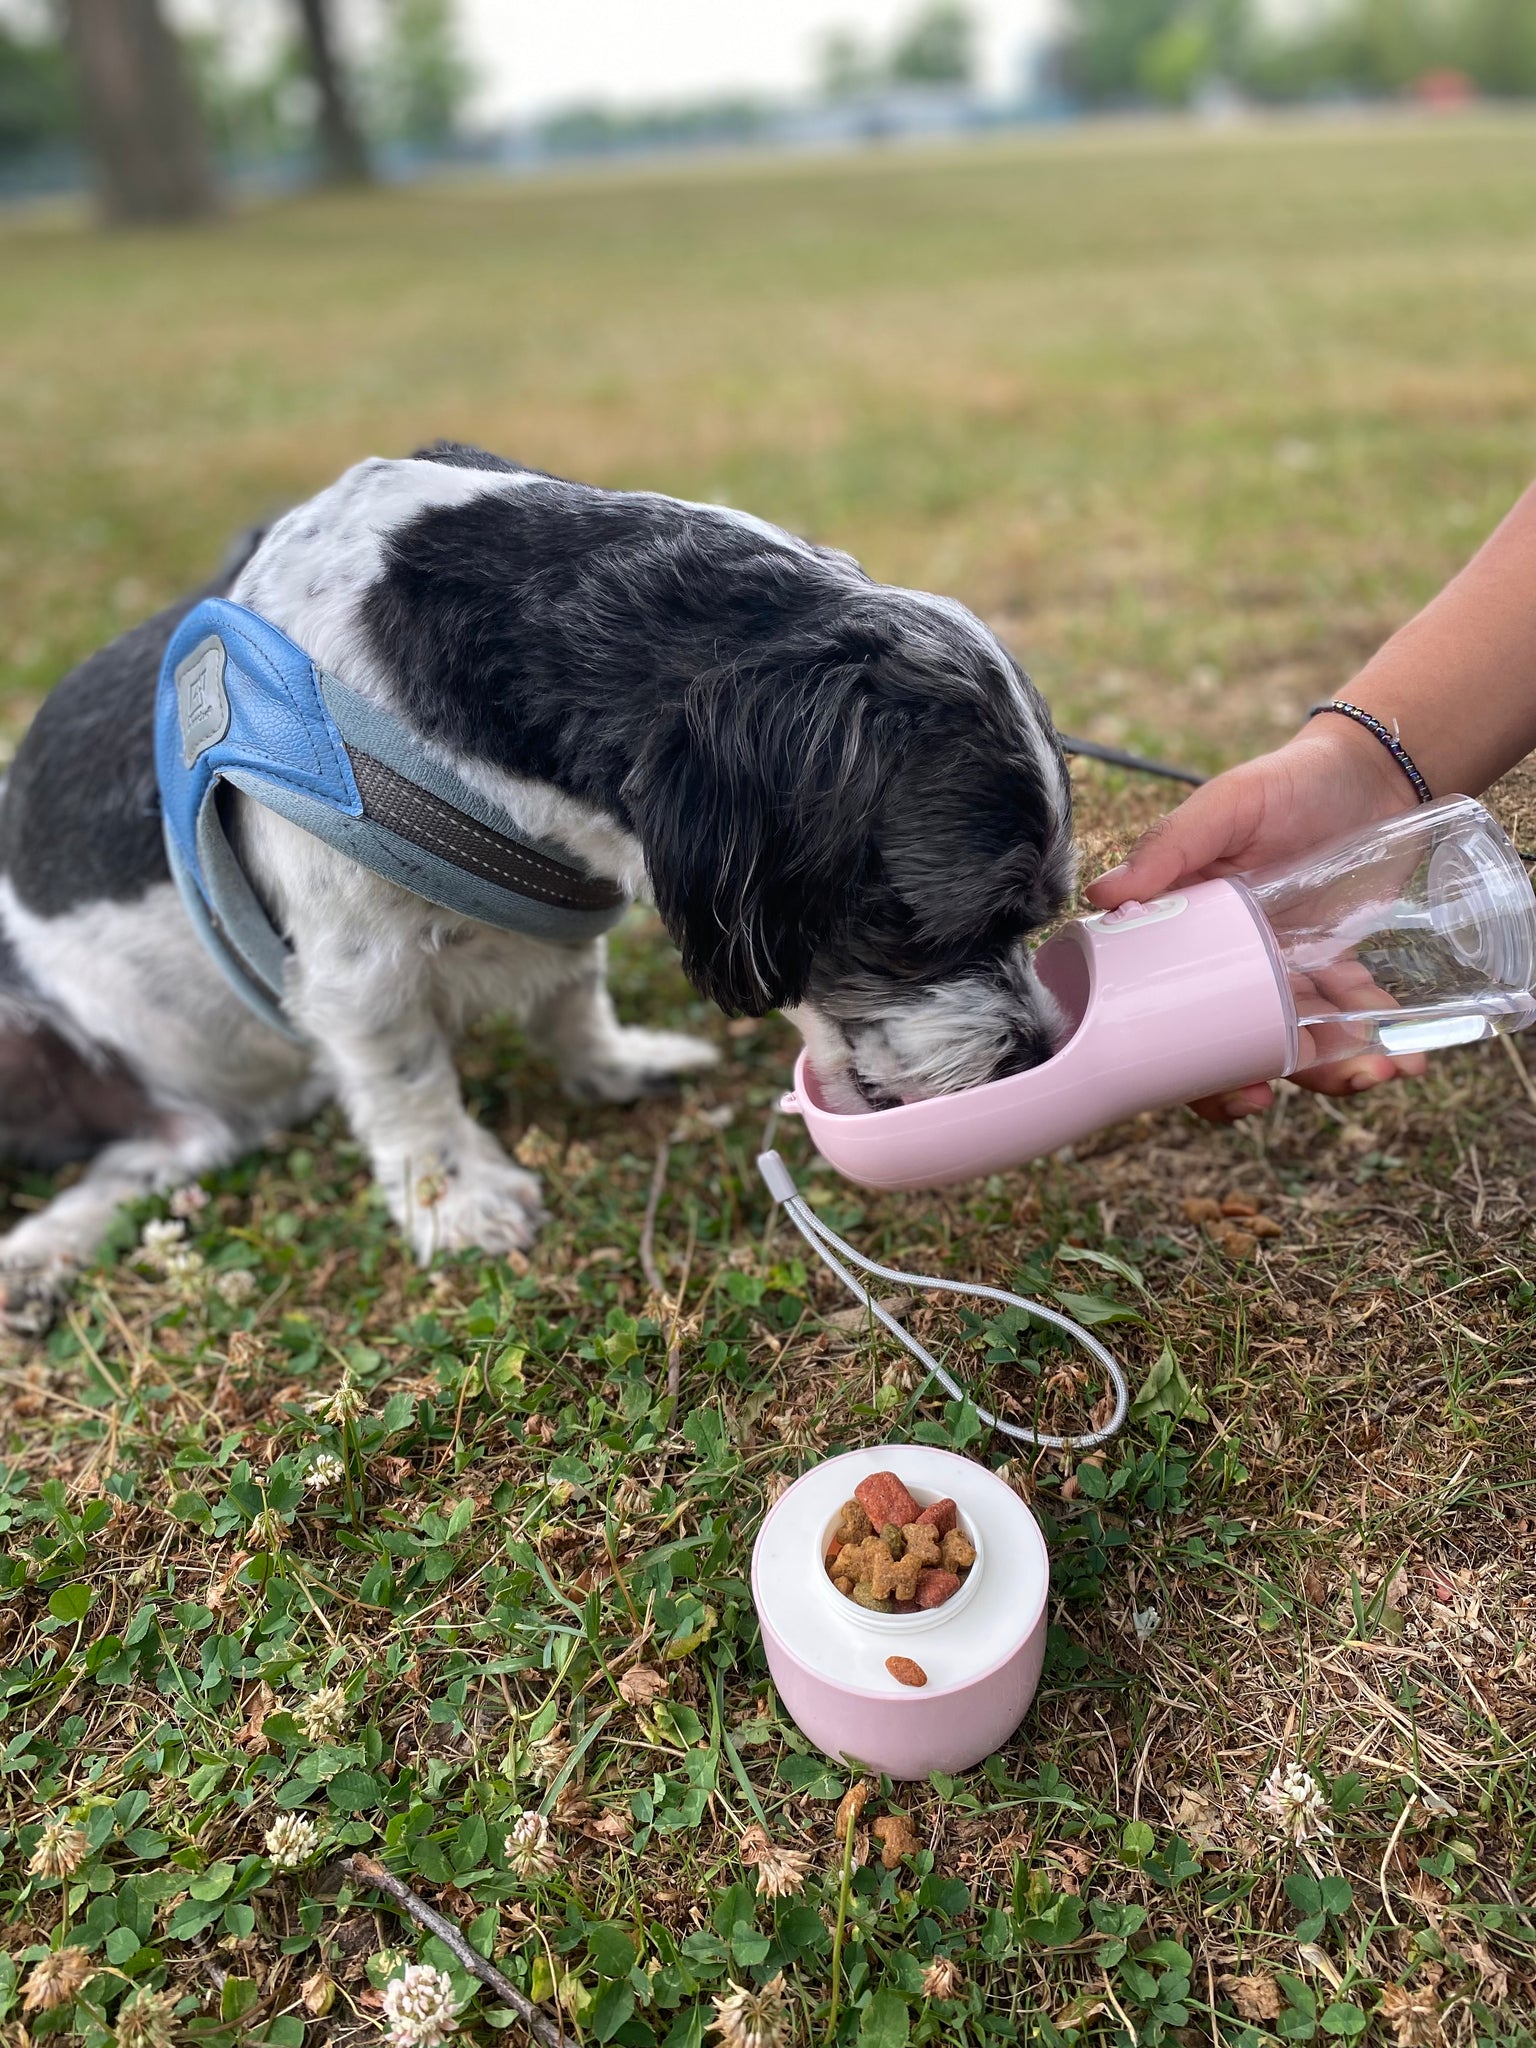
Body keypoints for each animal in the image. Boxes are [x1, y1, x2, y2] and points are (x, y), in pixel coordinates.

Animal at [0, 442, 1073, 1327]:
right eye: (934, 924)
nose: (1036, 1048)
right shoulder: (357, 971)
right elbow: (409, 1084)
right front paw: (457, 1202)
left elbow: (571, 997)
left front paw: (613, 1063)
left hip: (187, 1128)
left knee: (159, 1155)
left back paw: (41, 1258)